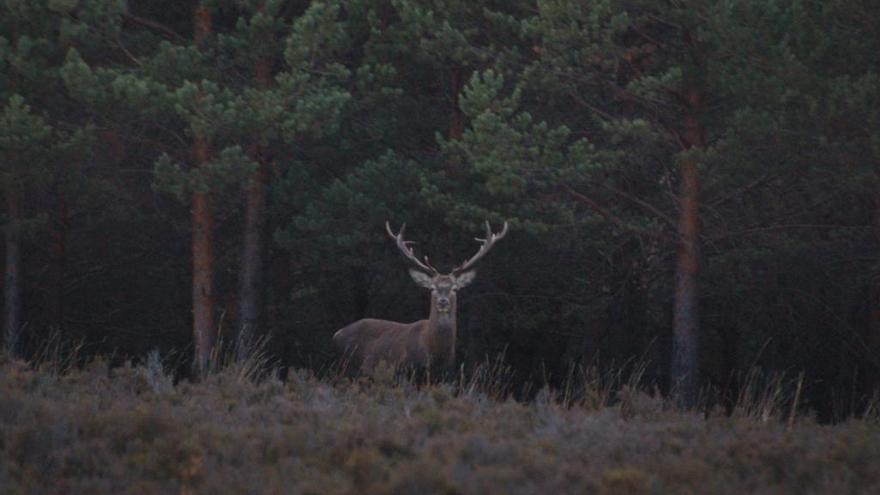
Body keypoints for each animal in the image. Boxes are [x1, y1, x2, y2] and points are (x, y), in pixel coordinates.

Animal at [332, 221, 508, 376]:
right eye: (432, 288)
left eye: (454, 288)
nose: (442, 301)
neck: (436, 354)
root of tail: (336, 334)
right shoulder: (405, 369)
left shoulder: (446, 374)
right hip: (346, 368)